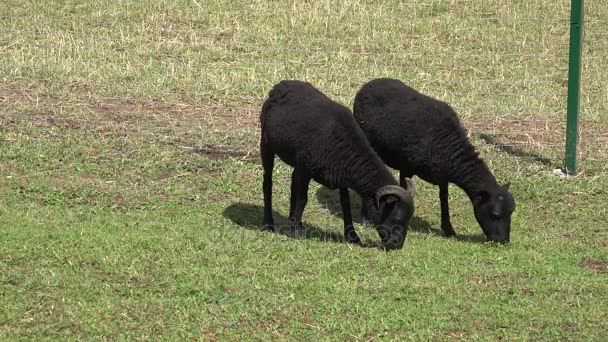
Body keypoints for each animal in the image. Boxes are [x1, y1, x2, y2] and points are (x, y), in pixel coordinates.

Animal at [258, 81, 416, 250]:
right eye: (397, 219)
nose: (396, 245)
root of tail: (280, 85)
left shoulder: (341, 174)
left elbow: (345, 203)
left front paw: (352, 236)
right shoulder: (304, 169)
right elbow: (302, 199)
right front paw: (295, 233)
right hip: (266, 144)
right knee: (267, 183)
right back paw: (268, 224)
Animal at [354, 77, 516, 243]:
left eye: (511, 212)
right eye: (495, 214)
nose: (504, 241)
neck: (449, 148)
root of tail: (371, 83)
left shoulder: (443, 176)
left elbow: (444, 198)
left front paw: (448, 229)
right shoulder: (406, 168)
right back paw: (365, 219)